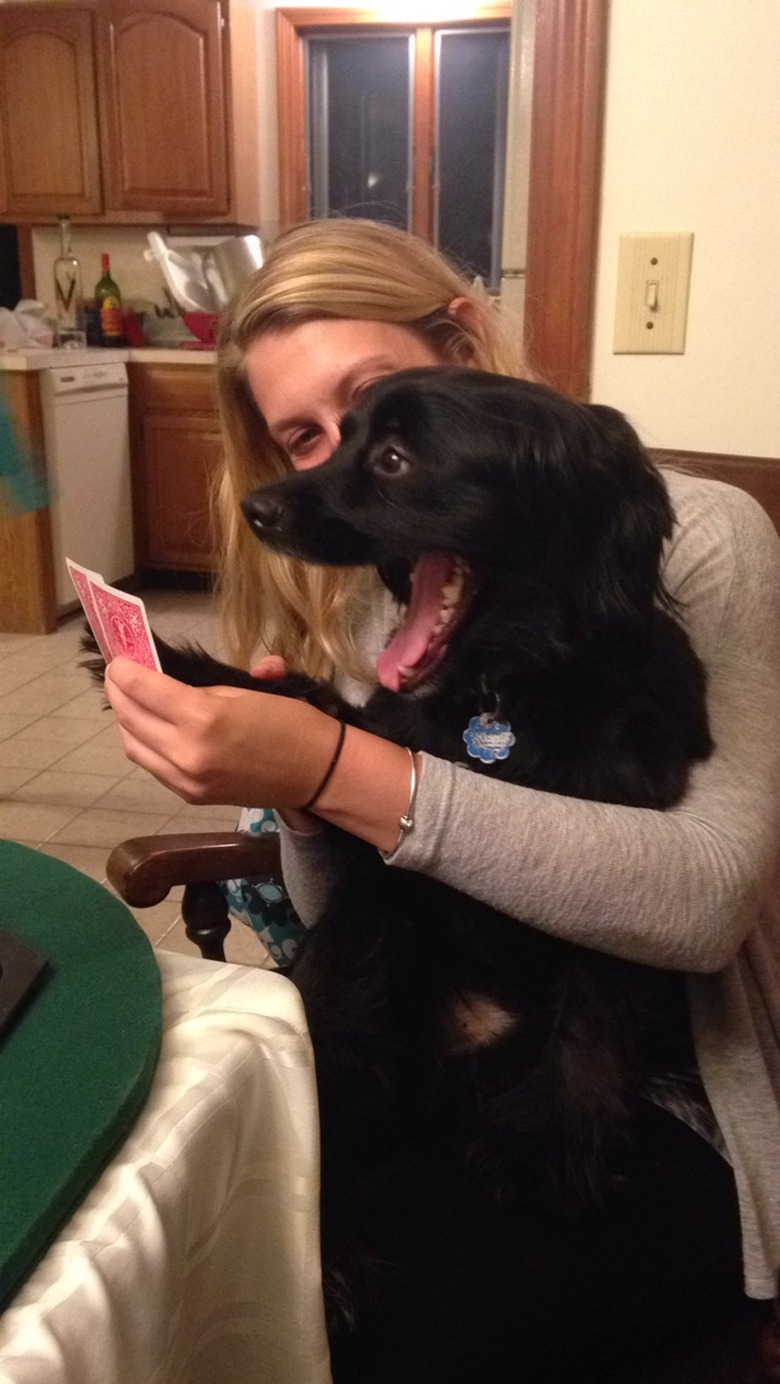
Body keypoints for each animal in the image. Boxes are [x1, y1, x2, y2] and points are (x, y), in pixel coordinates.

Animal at [85, 370, 713, 1328]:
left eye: (393, 459)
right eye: (333, 440)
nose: (256, 508)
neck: (502, 697)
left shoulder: (632, 856)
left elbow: (597, 1002)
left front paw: (552, 1141)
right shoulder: (382, 786)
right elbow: (312, 706)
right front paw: (174, 662)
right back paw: (329, 1254)